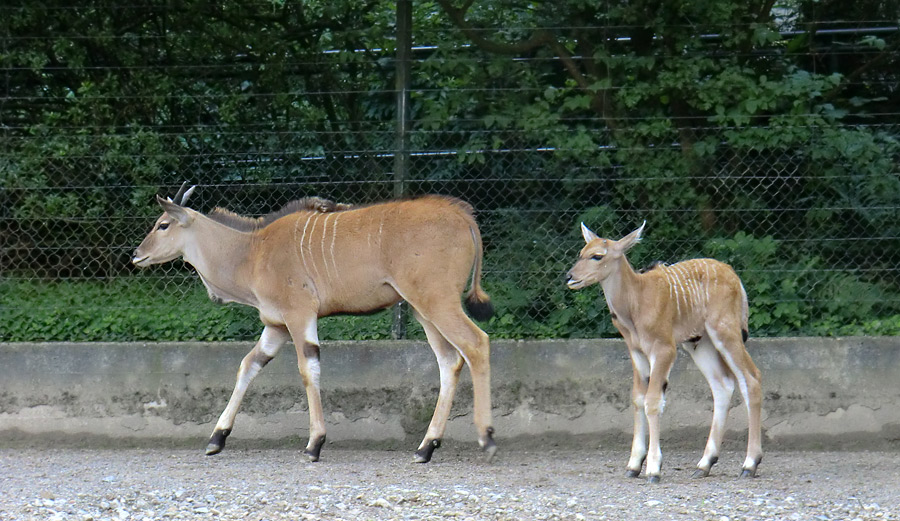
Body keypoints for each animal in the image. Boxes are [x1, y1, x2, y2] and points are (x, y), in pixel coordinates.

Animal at [132, 185, 500, 462]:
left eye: (163, 224)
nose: (136, 255)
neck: (253, 252)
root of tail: (462, 215)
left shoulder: (299, 315)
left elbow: (308, 367)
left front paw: (314, 444)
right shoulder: (276, 326)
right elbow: (248, 366)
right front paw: (216, 438)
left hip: (437, 302)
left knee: (476, 344)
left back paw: (486, 437)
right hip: (423, 310)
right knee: (449, 361)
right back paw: (426, 447)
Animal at [568, 221, 764, 482]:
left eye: (597, 256)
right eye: (581, 252)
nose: (570, 277)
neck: (637, 298)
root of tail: (735, 278)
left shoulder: (664, 350)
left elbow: (652, 401)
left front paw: (653, 468)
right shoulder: (637, 352)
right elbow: (637, 399)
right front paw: (633, 465)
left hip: (725, 333)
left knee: (751, 378)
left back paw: (749, 464)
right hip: (700, 344)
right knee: (722, 385)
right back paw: (704, 464)